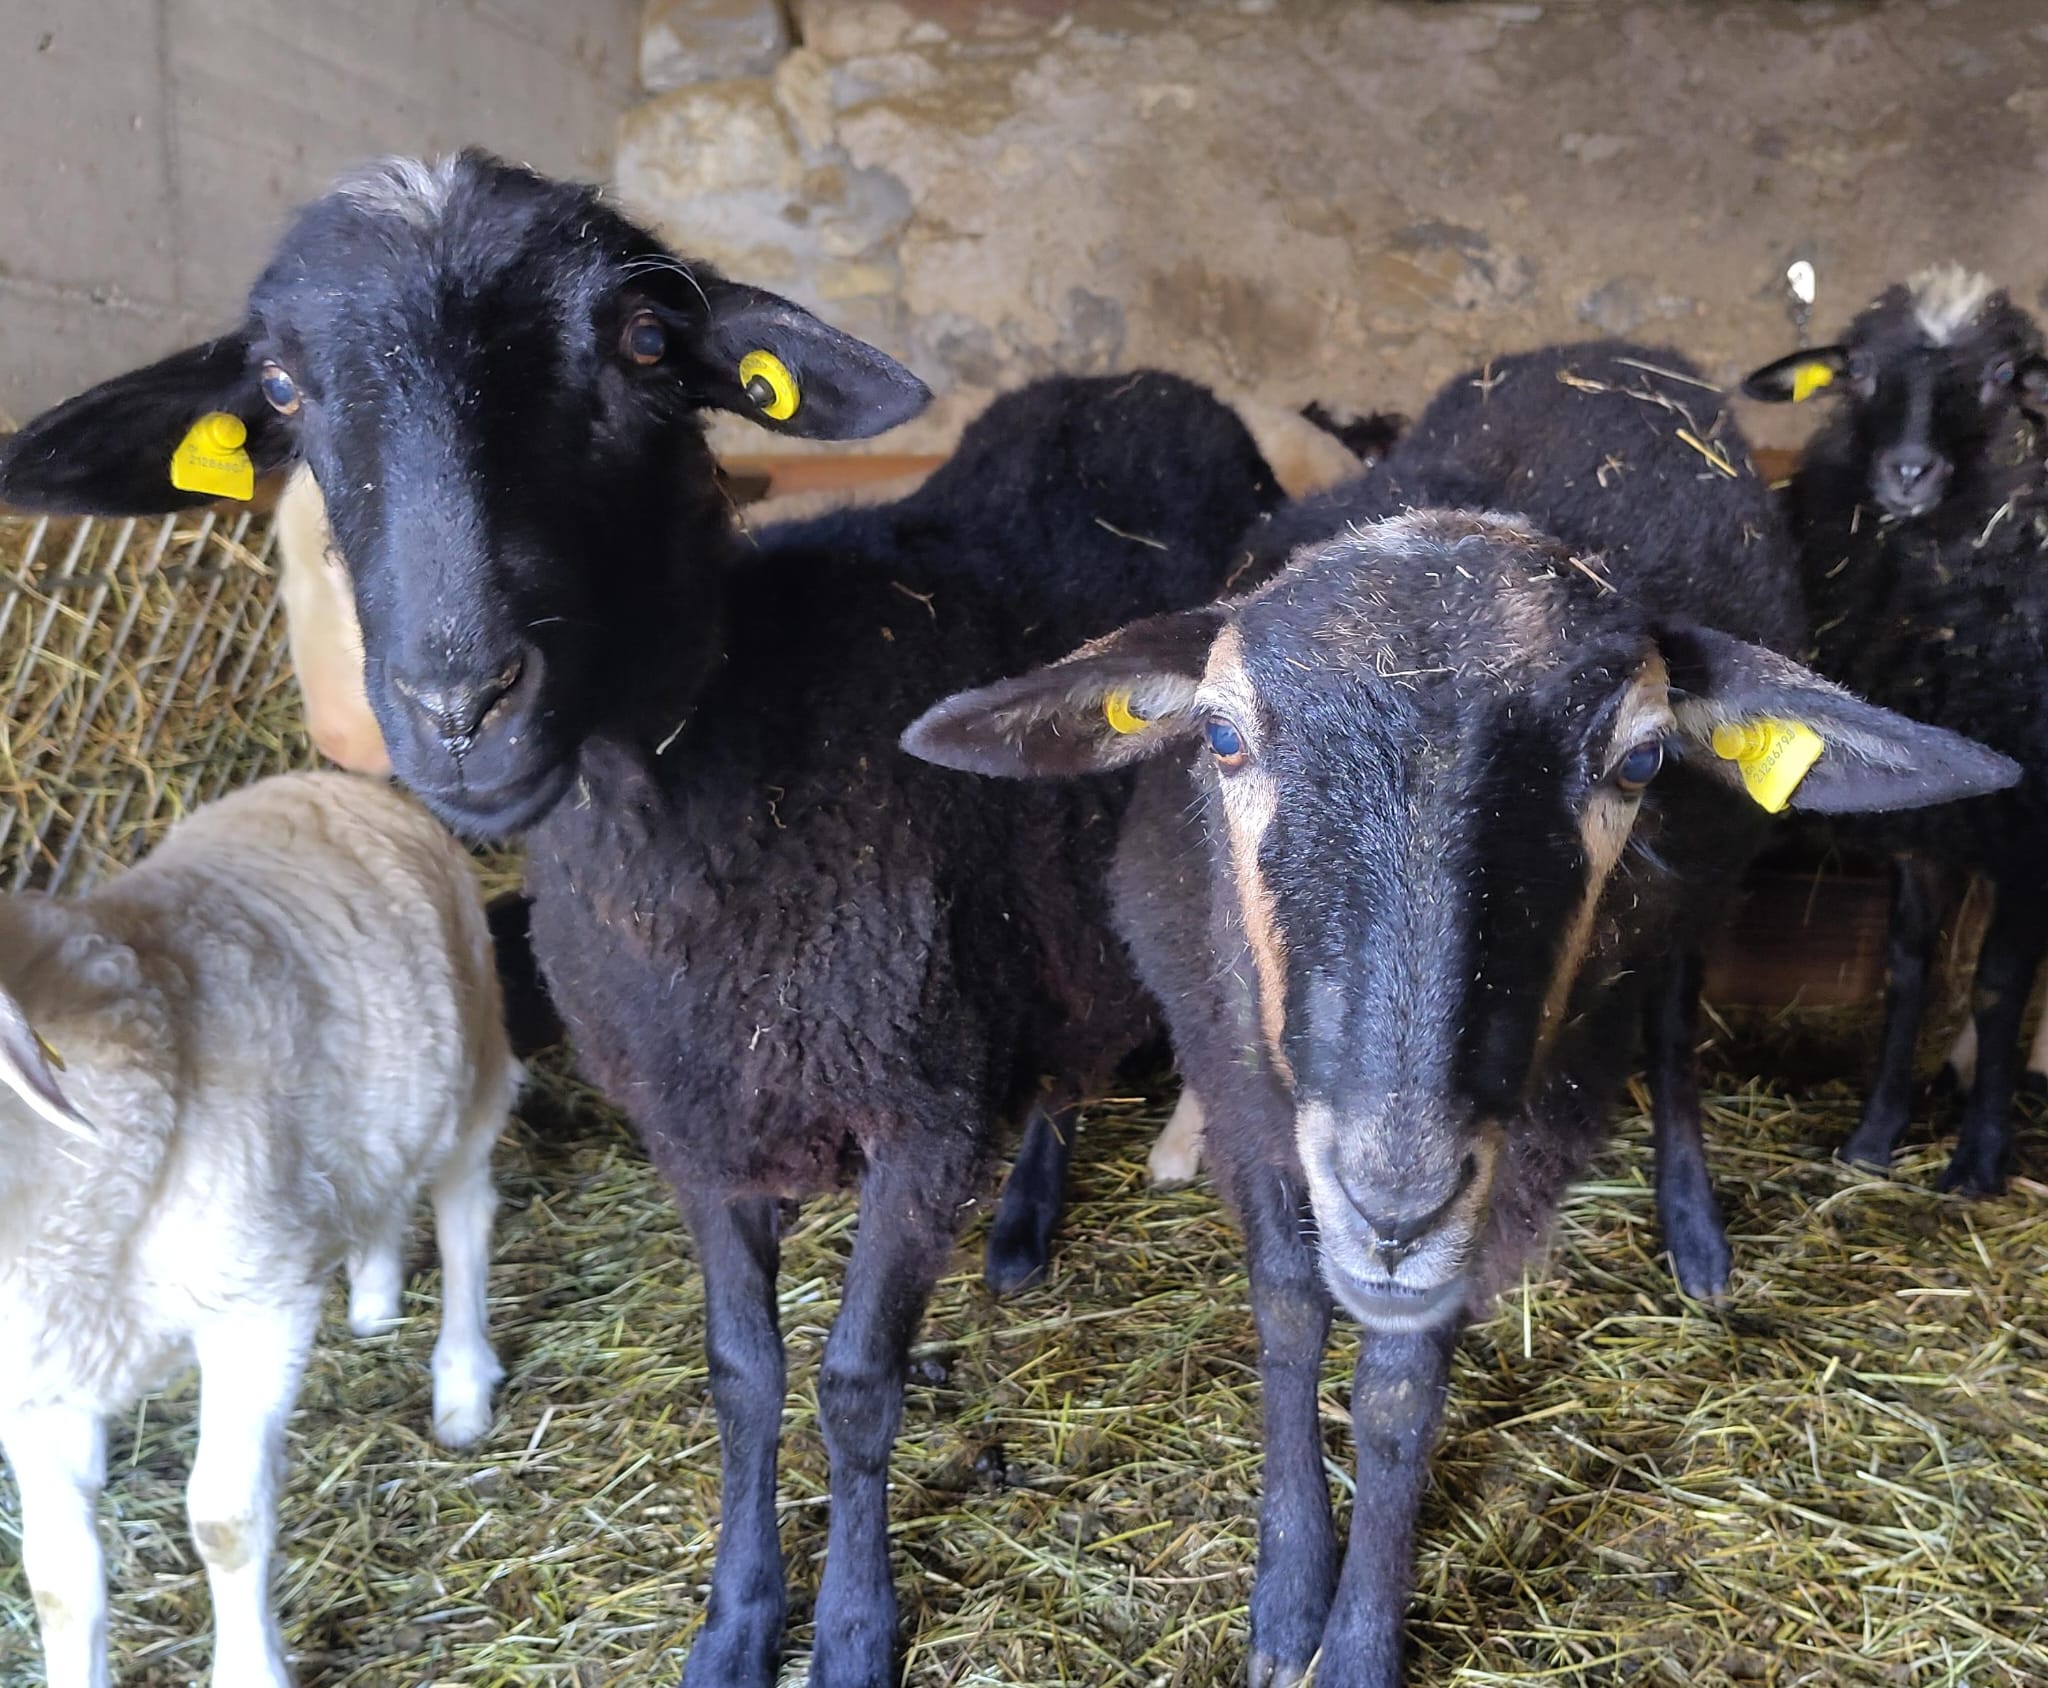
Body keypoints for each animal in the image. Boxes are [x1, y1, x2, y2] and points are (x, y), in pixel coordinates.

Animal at [0, 769, 516, 1688]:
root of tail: (326, 781)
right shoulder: (37, 1380)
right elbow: (58, 1582)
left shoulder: (255, 1308)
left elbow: (224, 1522)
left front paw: (250, 1669)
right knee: (378, 1192)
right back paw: (374, 1300)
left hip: (477, 1060)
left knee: (464, 1219)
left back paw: (461, 1387)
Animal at [904, 341, 2018, 1688]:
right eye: (1219, 735)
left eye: (1639, 762)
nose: (1395, 1200)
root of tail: (1606, 353)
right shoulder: (1237, 1069)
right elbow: (1286, 1311)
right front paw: (1286, 1597)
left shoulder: (1509, 1150)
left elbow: (1399, 1390)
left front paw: (1356, 1636)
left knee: (1669, 1022)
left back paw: (1693, 1228)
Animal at [1743, 267, 2048, 1192]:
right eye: (1863, 371)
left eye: (2001, 379)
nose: (1909, 470)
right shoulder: (1927, 816)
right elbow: (1907, 967)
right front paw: (1875, 1136)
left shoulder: (2026, 823)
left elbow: (1999, 982)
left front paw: (1979, 1160)